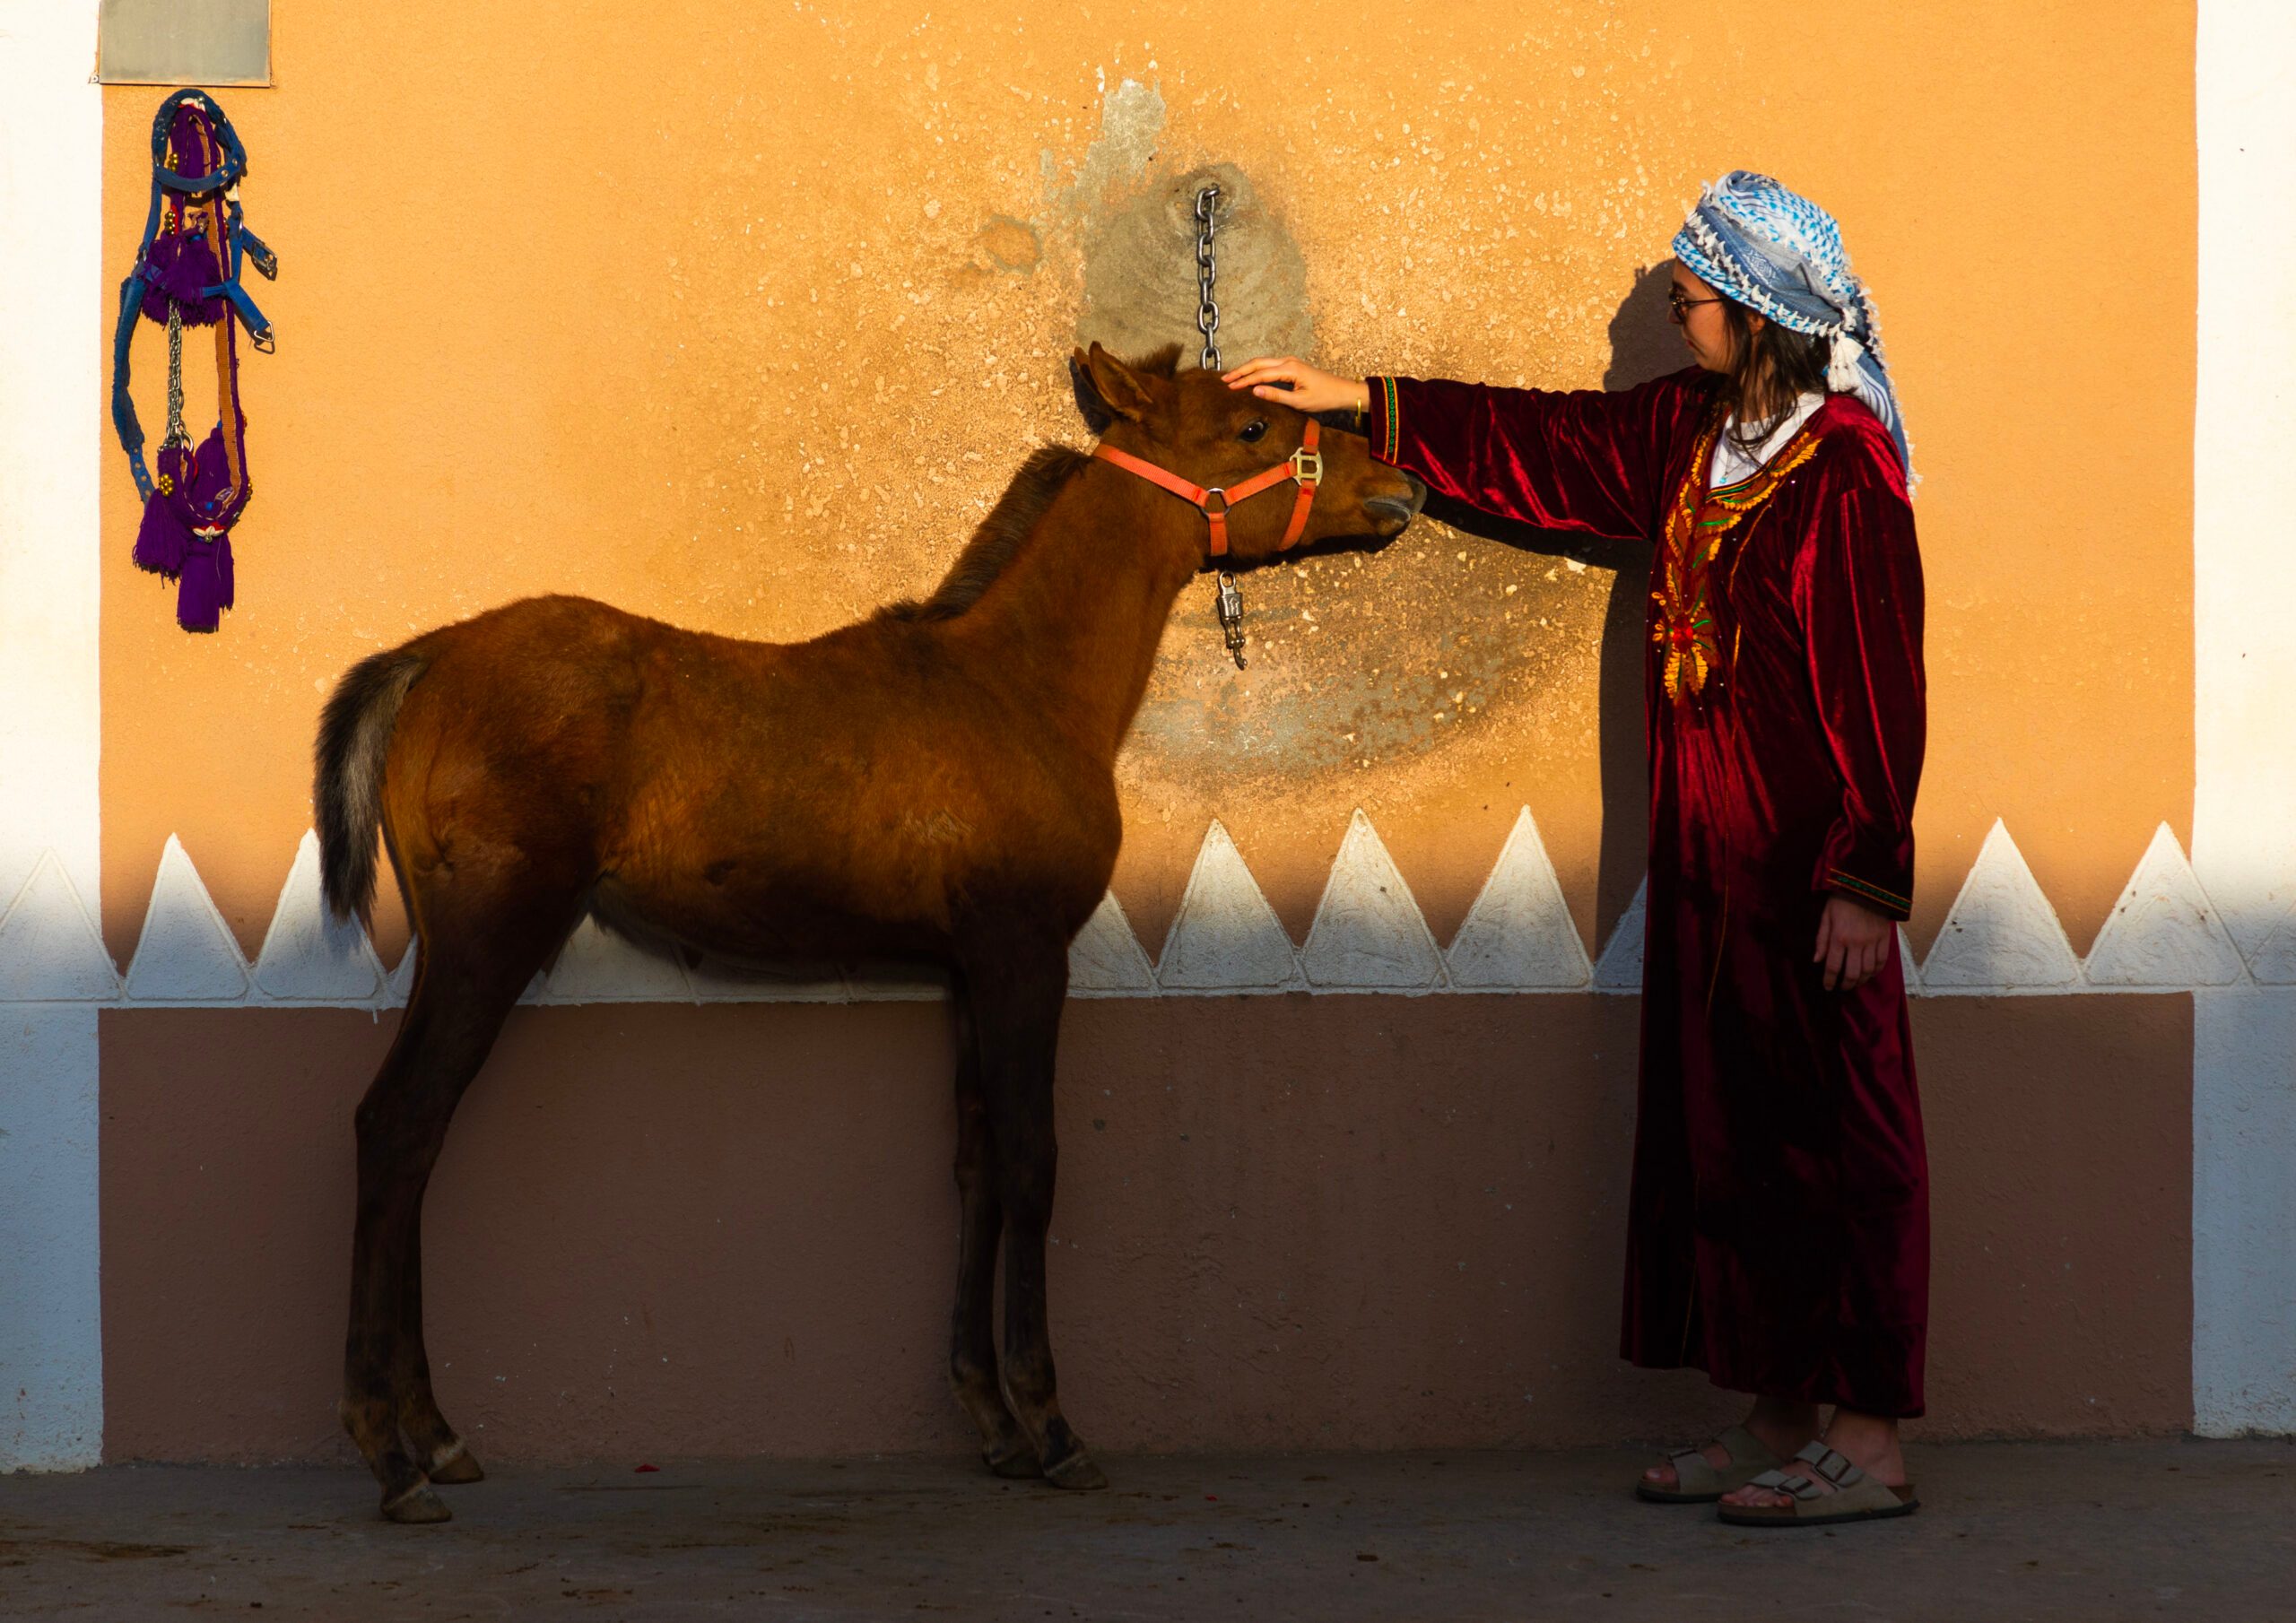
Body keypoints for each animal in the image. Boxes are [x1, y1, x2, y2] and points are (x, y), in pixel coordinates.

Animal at [314, 342, 1423, 1523]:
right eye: (1249, 429)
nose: (1399, 483)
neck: (1017, 689)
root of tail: (431, 655)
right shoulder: (1026, 955)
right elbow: (1032, 1162)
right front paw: (1053, 1427)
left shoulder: (968, 971)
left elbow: (976, 1162)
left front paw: (992, 1422)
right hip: (494, 930)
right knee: (401, 1124)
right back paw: (391, 1454)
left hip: (451, 941)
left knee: (410, 1135)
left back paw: (435, 1436)